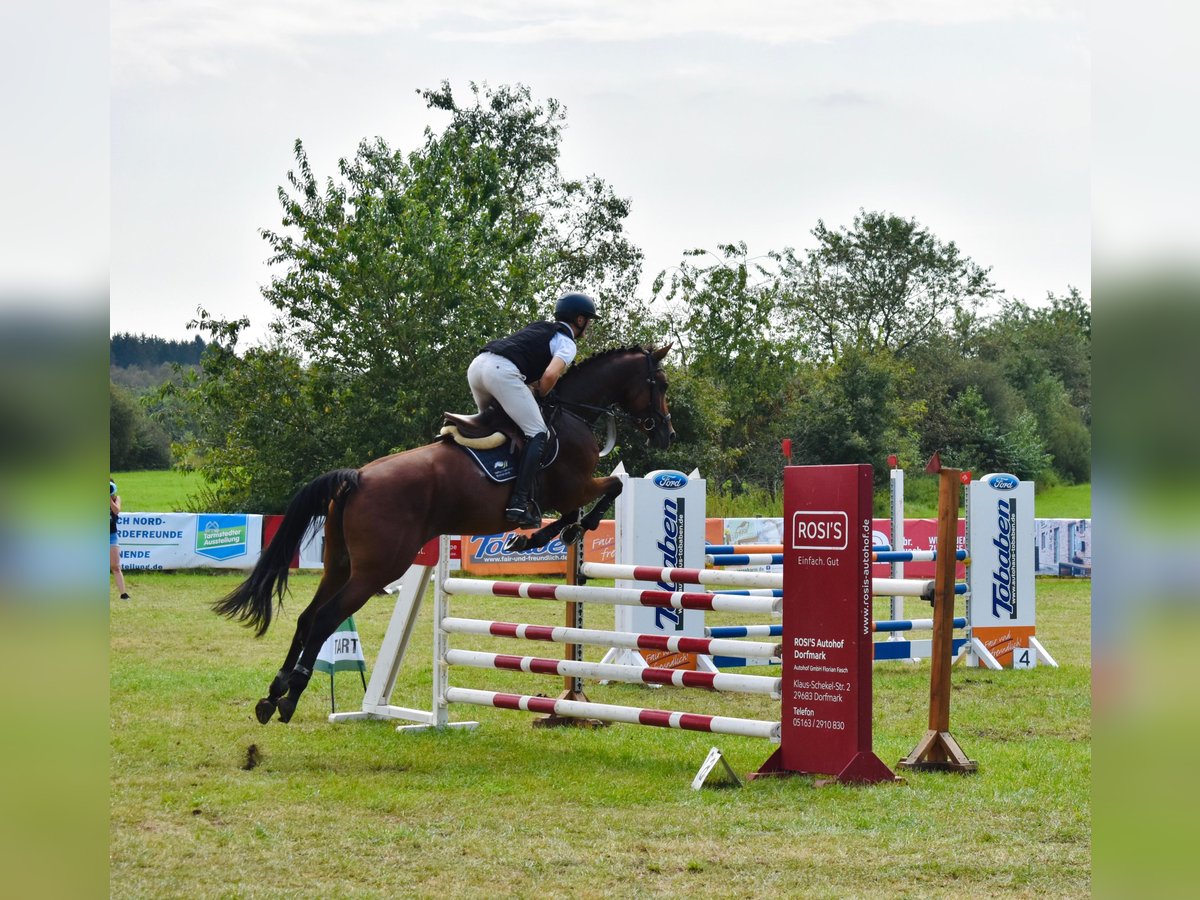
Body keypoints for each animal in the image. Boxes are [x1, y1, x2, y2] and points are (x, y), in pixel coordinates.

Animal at [210, 345, 672, 724]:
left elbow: (580, 509)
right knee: (325, 618)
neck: (571, 412)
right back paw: (291, 697)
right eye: (661, 383)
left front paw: (538, 537)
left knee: (308, 617)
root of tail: (357, 477)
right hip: (377, 569)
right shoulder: (574, 485)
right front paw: (547, 534)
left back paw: (274, 693)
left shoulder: (568, 492)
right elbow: (611, 489)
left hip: (339, 565)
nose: (665, 433)